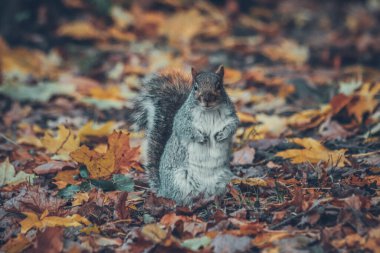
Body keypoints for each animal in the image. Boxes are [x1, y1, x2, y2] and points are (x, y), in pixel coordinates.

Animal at [131, 65, 238, 206]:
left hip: (224, 178)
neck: (209, 111)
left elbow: (233, 126)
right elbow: (185, 129)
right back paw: (189, 204)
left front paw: (222, 135)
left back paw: (220, 199)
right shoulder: (181, 119)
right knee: (181, 198)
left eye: (219, 86)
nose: (207, 99)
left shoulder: (231, 116)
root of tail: (163, 190)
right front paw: (201, 137)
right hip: (180, 181)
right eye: (195, 87)